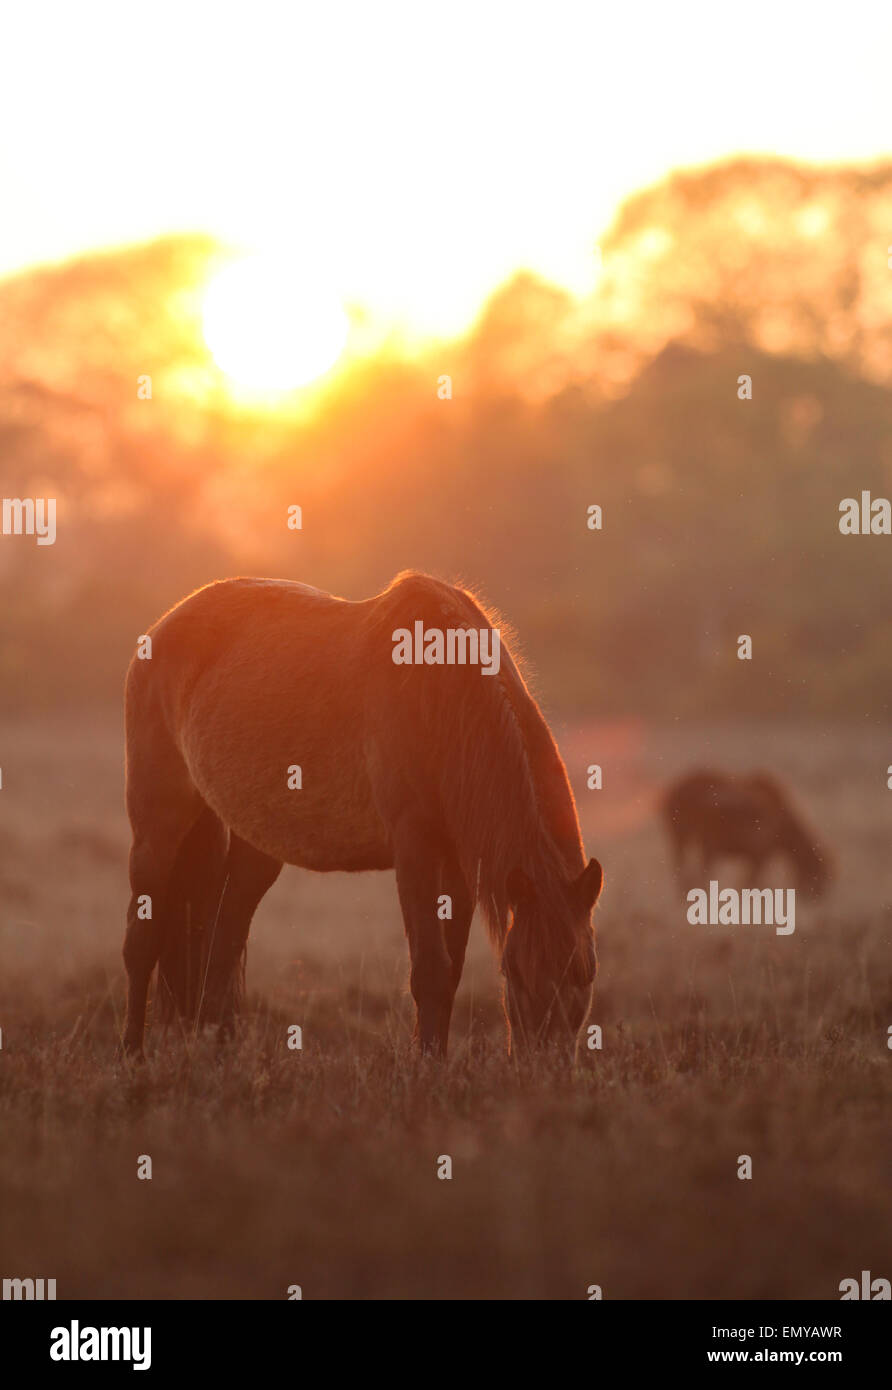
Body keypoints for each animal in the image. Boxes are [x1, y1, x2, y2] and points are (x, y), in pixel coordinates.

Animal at [119, 569, 605, 1056]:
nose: (546, 1062)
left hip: (255, 846)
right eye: (515, 971)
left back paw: (220, 1052)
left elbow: (450, 970)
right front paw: (427, 1065)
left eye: (585, 972)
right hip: (157, 827)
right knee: (142, 943)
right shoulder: (414, 845)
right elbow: (430, 971)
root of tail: (161, 630)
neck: (440, 692)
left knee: (223, 940)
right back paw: (133, 1054)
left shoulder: (460, 862)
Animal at [655, 767, 828, 895]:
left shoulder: (756, 856)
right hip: (683, 836)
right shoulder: (759, 854)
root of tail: (672, 790)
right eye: (818, 872)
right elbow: (750, 884)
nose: (820, 895)